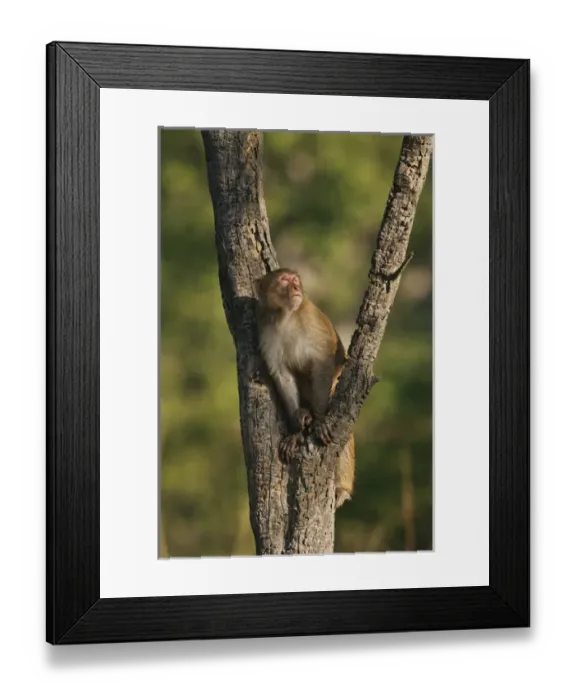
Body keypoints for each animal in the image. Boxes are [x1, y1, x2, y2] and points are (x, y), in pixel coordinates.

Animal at [254, 267, 355, 509]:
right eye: (284, 280)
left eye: (295, 280)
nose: (295, 287)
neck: (286, 317)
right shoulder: (266, 330)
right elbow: (283, 376)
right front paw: (295, 432)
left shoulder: (311, 320)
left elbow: (322, 364)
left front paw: (319, 422)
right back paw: (304, 415)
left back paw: (342, 487)